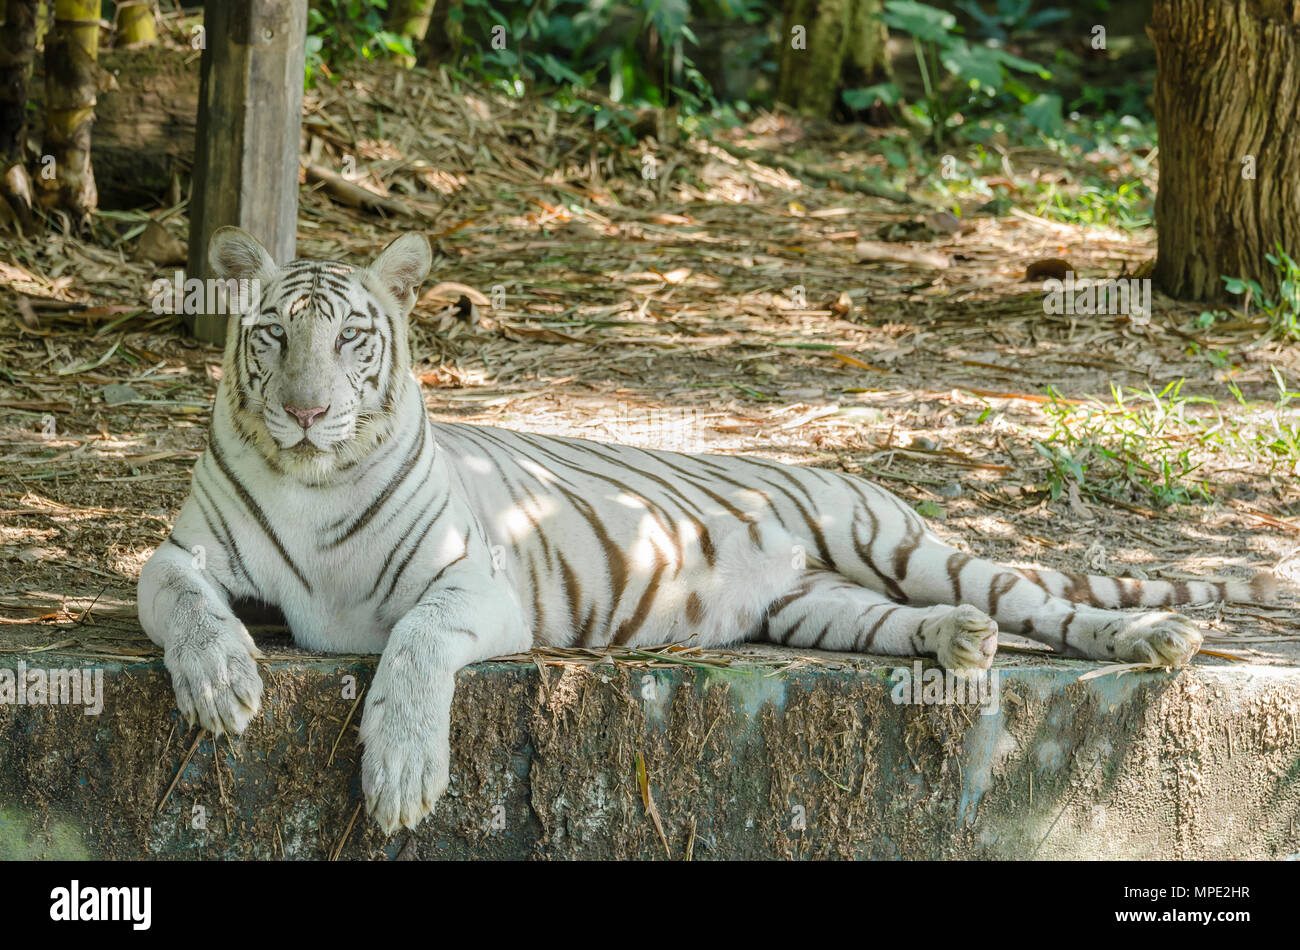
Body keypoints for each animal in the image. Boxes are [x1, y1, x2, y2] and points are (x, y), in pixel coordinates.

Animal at [138, 226, 1277, 835]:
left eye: (352, 339)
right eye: (273, 334)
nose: (307, 412)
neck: (314, 480)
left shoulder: (475, 579)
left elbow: (415, 644)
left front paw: (405, 771)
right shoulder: (185, 550)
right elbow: (176, 594)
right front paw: (222, 681)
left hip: (899, 542)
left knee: (1049, 604)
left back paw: (1152, 639)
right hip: (820, 610)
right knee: (919, 622)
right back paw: (957, 641)